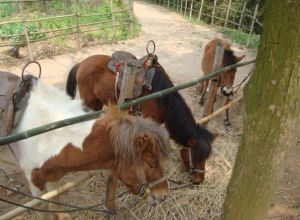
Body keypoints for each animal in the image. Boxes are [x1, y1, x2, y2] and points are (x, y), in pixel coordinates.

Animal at [11, 78, 170, 217]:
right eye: (151, 164)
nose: (163, 195)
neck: (50, 138)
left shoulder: (53, 180)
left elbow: (55, 208)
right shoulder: (35, 185)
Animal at [66, 54, 216, 184]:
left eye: (206, 157)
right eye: (196, 157)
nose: (199, 180)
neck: (162, 99)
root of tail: (81, 63)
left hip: (97, 103)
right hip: (89, 102)